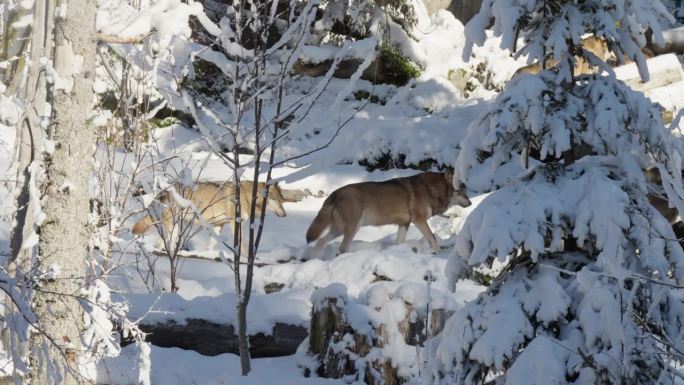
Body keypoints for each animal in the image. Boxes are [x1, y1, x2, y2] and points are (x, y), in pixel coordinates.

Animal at [131, 181, 286, 250]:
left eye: (282, 201)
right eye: (277, 201)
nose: (285, 215)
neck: (248, 198)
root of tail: (162, 193)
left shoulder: (219, 225)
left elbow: (212, 244)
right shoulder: (235, 224)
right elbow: (242, 245)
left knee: (160, 242)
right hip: (174, 228)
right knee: (165, 242)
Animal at [304, 171, 470, 255]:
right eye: (462, 191)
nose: (470, 203)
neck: (432, 189)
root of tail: (335, 193)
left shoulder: (405, 224)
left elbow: (400, 242)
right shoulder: (419, 220)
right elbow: (433, 238)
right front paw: (439, 254)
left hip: (339, 230)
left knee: (320, 241)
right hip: (351, 229)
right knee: (341, 248)